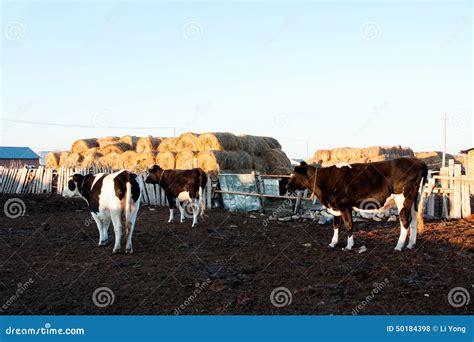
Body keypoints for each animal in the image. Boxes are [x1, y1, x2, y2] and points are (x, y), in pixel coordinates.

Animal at [286, 158, 428, 251]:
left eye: (294, 175)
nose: (287, 186)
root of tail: (418, 162)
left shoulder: (344, 205)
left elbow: (349, 225)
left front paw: (349, 246)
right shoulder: (335, 207)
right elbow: (336, 226)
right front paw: (333, 243)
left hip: (403, 199)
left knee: (405, 221)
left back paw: (399, 246)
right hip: (415, 200)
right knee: (414, 220)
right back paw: (411, 244)